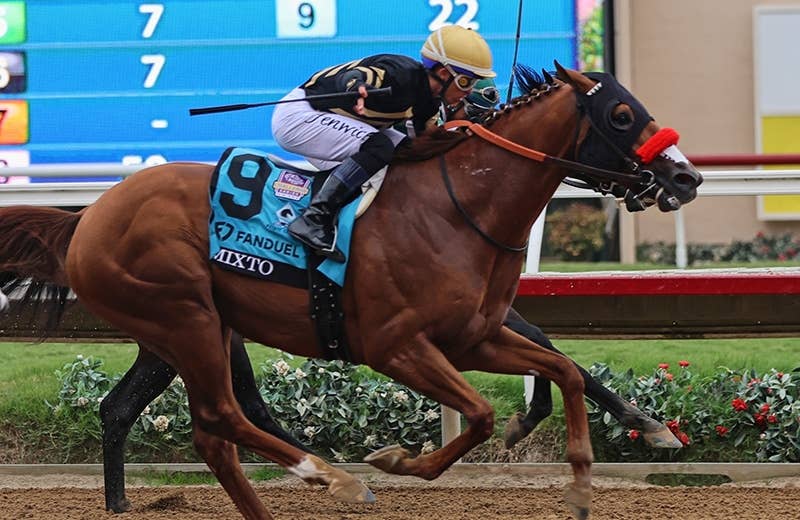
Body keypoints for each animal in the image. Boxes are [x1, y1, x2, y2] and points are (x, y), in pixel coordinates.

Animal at [0, 63, 702, 519]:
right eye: (620, 114)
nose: (686, 177)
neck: (460, 208)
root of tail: (88, 217)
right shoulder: (395, 346)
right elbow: (478, 413)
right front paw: (393, 462)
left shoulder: (472, 337)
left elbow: (565, 370)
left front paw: (588, 478)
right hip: (183, 317)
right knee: (218, 418)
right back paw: (334, 479)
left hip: (189, 329)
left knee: (199, 431)